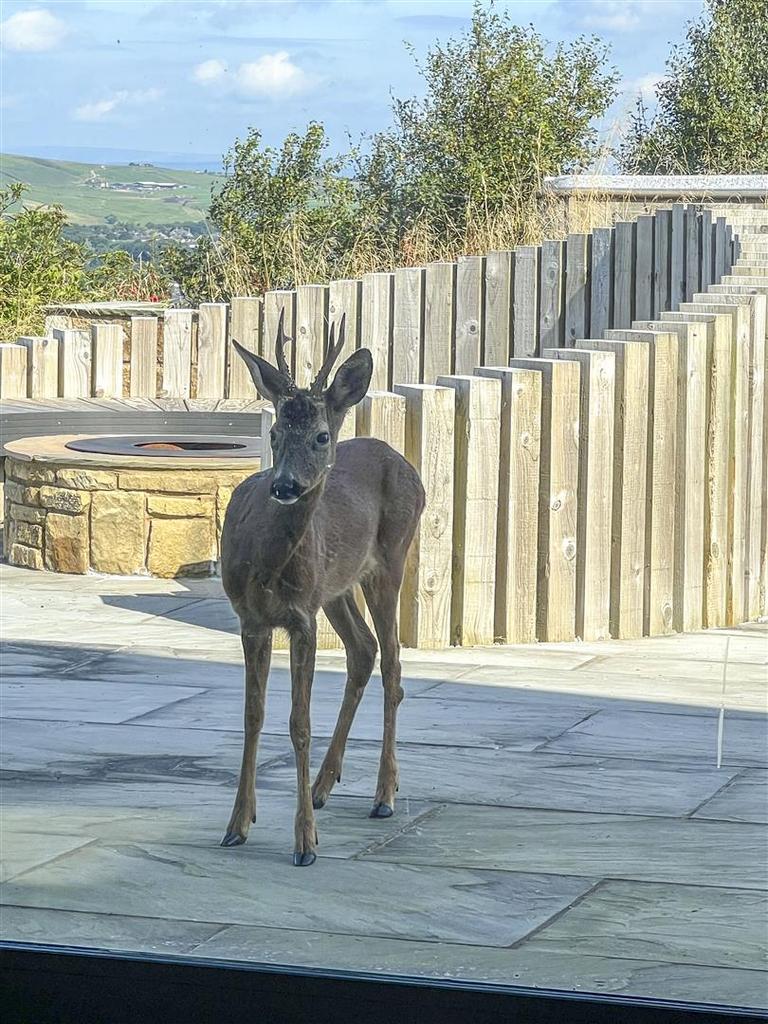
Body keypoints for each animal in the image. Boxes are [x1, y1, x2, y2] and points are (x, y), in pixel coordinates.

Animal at [221, 311, 428, 864]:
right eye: (273, 431)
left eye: (318, 436)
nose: (285, 486)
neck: (267, 563)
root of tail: (404, 462)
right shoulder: (250, 618)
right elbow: (252, 715)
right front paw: (237, 824)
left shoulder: (300, 618)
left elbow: (298, 723)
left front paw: (305, 843)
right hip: (336, 589)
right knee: (363, 649)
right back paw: (322, 785)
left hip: (390, 561)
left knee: (393, 663)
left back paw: (383, 795)